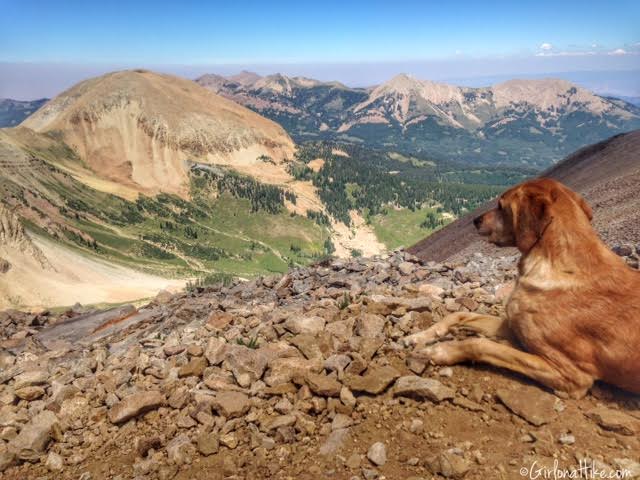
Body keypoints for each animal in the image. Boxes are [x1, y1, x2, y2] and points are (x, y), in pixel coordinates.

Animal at [412, 178, 636, 400]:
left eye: (501, 206)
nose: (475, 220)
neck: (559, 265)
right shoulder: (513, 325)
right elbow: (459, 314)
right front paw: (420, 336)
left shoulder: (571, 376)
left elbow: (481, 345)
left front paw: (439, 351)